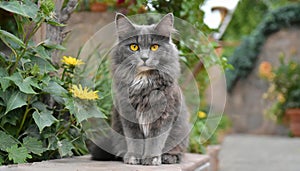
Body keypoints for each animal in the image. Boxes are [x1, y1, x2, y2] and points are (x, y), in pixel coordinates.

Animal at [88, 12, 190, 165]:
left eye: (154, 47)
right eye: (134, 47)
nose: (144, 58)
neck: (143, 79)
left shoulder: (164, 115)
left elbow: (155, 141)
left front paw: (151, 159)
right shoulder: (127, 114)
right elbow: (134, 140)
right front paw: (133, 157)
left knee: (179, 152)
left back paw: (168, 157)